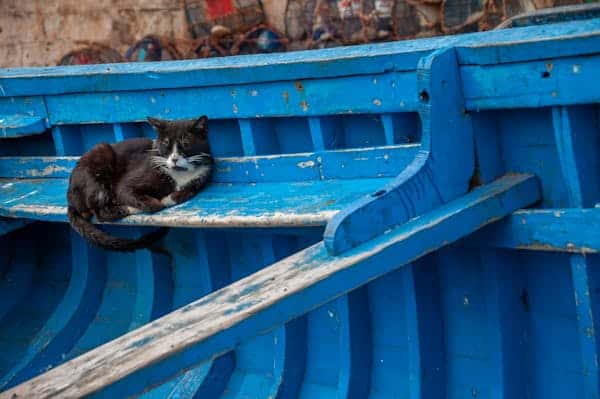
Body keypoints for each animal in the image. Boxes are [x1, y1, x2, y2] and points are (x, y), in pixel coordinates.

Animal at [67, 116, 213, 253]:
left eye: (186, 143)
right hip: (99, 161)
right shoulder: (125, 185)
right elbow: (153, 204)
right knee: (100, 212)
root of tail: (70, 196)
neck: (179, 174)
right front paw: (158, 201)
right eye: (165, 143)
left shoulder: (203, 175)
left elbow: (189, 190)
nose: (174, 159)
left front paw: (170, 197)